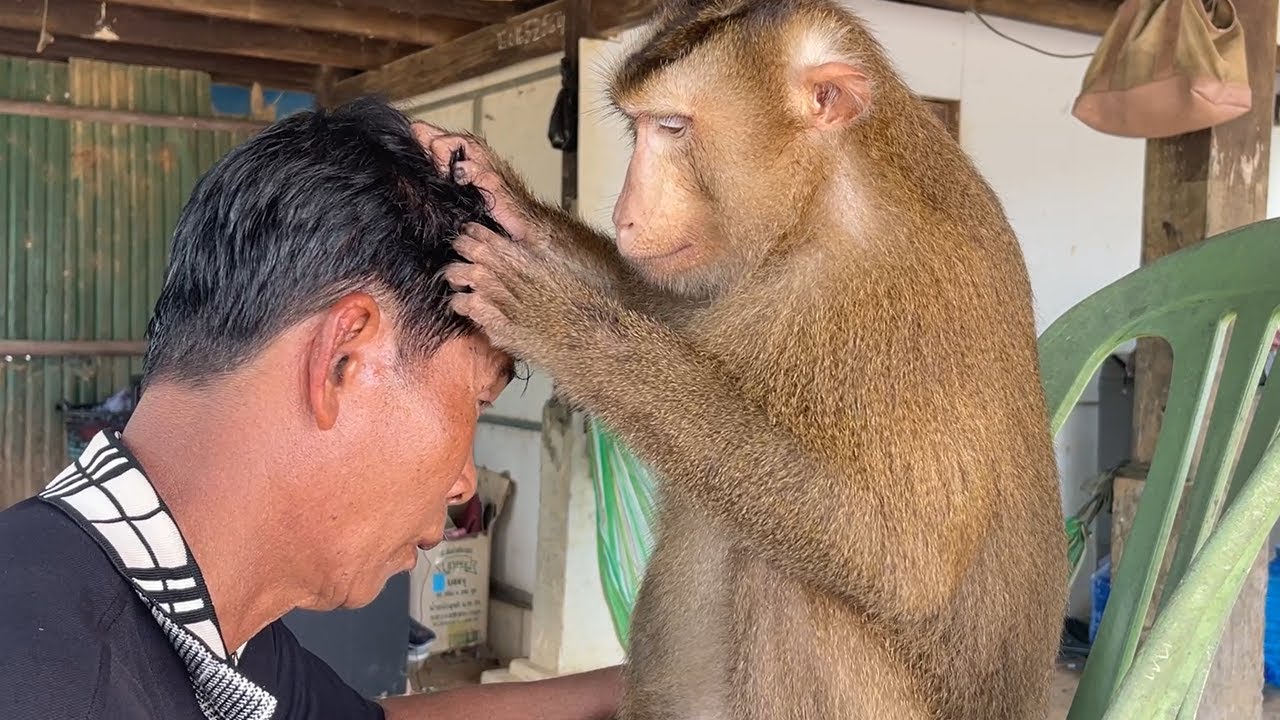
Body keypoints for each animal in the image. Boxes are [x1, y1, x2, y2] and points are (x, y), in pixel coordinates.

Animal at [415, 0, 1068, 717]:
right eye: (638, 126)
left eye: (672, 127)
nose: (625, 215)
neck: (816, 201)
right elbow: (675, 311)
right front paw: (509, 202)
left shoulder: (899, 299)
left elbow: (905, 559)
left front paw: (564, 323)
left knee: (790, 586)